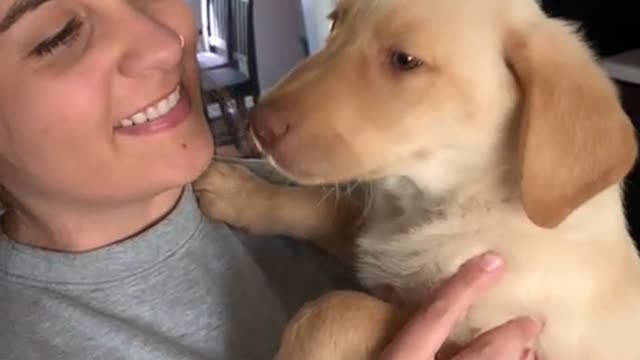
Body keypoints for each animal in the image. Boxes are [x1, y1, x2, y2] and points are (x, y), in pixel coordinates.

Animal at [195, 0, 640, 358]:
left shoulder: (497, 340)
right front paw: (239, 191)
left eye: (404, 60)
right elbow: (324, 210)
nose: (257, 125)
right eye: (336, 23)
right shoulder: (373, 248)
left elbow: (343, 308)